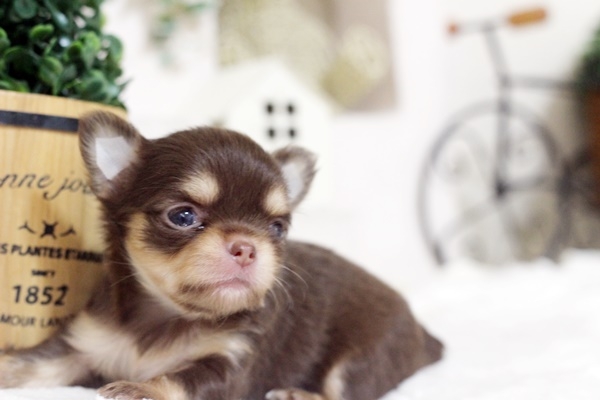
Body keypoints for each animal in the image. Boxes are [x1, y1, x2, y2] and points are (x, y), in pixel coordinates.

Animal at [0, 111, 442, 400]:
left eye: (278, 228)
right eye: (182, 216)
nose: (247, 246)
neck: (167, 316)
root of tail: (425, 334)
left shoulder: (230, 362)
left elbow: (180, 379)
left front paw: (142, 388)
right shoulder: (82, 346)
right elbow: (35, 364)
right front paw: (7, 364)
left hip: (361, 359)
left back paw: (297, 395)